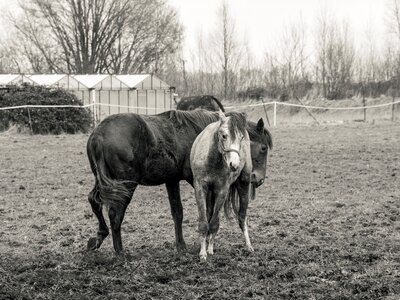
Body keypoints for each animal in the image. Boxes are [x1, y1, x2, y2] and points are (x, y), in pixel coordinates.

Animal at [85, 109, 270, 254]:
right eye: (264, 148)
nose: (259, 179)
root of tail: (99, 135)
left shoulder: (172, 180)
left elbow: (177, 212)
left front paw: (181, 245)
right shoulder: (199, 182)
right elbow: (207, 211)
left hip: (105, 182)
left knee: (94, 200)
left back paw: (99, 237)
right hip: (125, 185)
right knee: (115, 214)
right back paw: (119, 252)